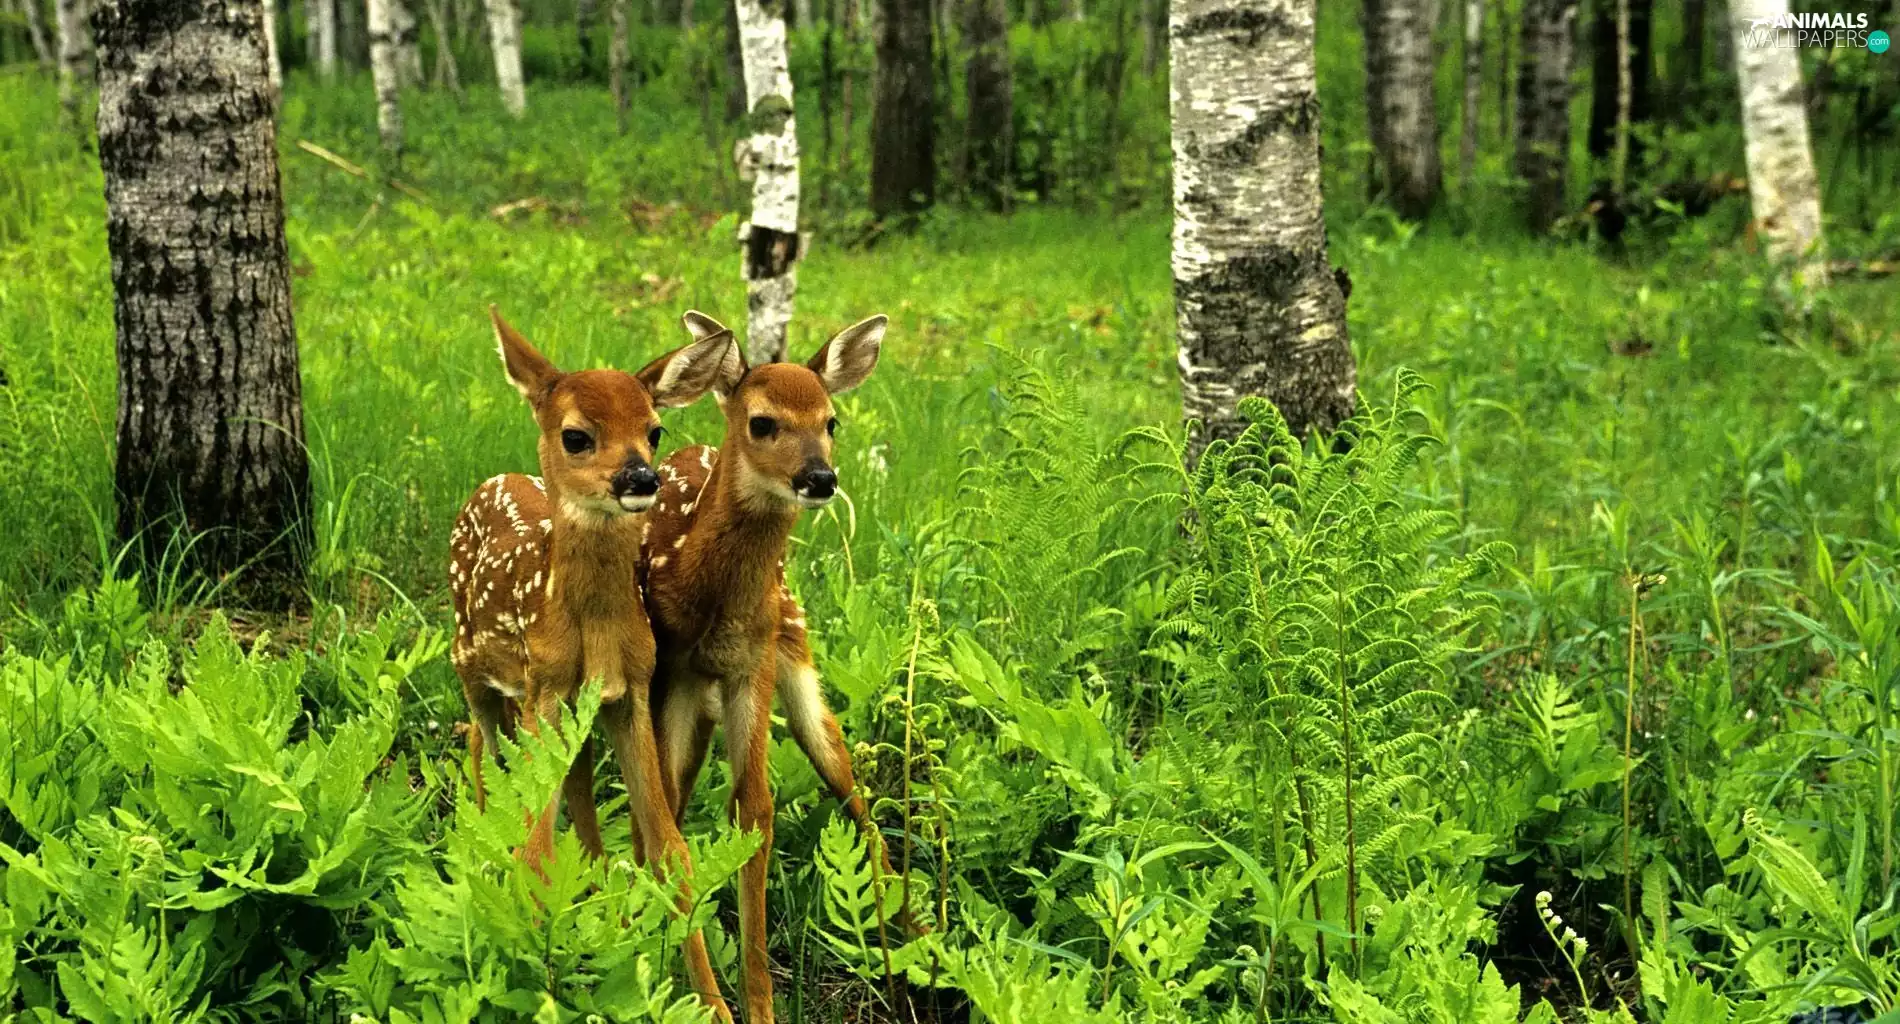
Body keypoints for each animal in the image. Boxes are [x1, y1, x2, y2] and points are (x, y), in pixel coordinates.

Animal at [447, 306, 739, 1023]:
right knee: (480, 747)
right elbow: (535, 849)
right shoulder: (544, 689)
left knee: (566, 793)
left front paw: (714, 1003)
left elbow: (669, 848)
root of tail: (491, 481)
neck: (592, 632)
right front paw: (539, 980)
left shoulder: (627, 694)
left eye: (655, 430)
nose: (640, 478)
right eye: (576, 435)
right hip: (472, 666)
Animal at [634, 308, 897, 1024]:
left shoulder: (750, 666)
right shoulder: (673, 674)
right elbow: (670, 828)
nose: (820, 478)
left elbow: (755, 810)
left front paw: (758, 1004)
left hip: (794, 651)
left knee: (856, 796)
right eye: (762, 422)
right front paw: (699, 994)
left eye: (832, 421)